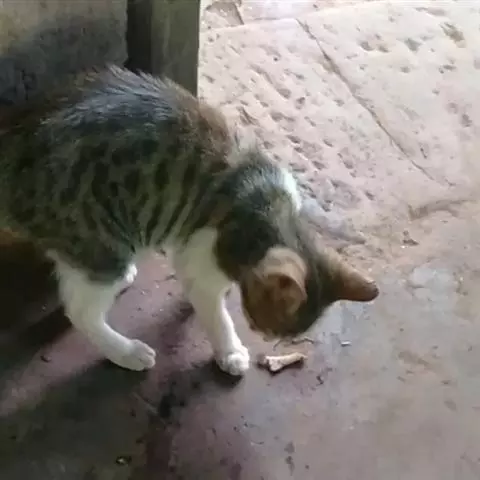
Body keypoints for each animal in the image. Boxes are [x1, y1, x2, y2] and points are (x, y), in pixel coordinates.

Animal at [0, 66, 378, 376]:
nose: (263, 334)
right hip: (97, 237)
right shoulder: (201, 254)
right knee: (79, 310)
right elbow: (213, 308)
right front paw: (230, 350)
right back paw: (126, 352)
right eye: (266, 320)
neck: (269, 209)